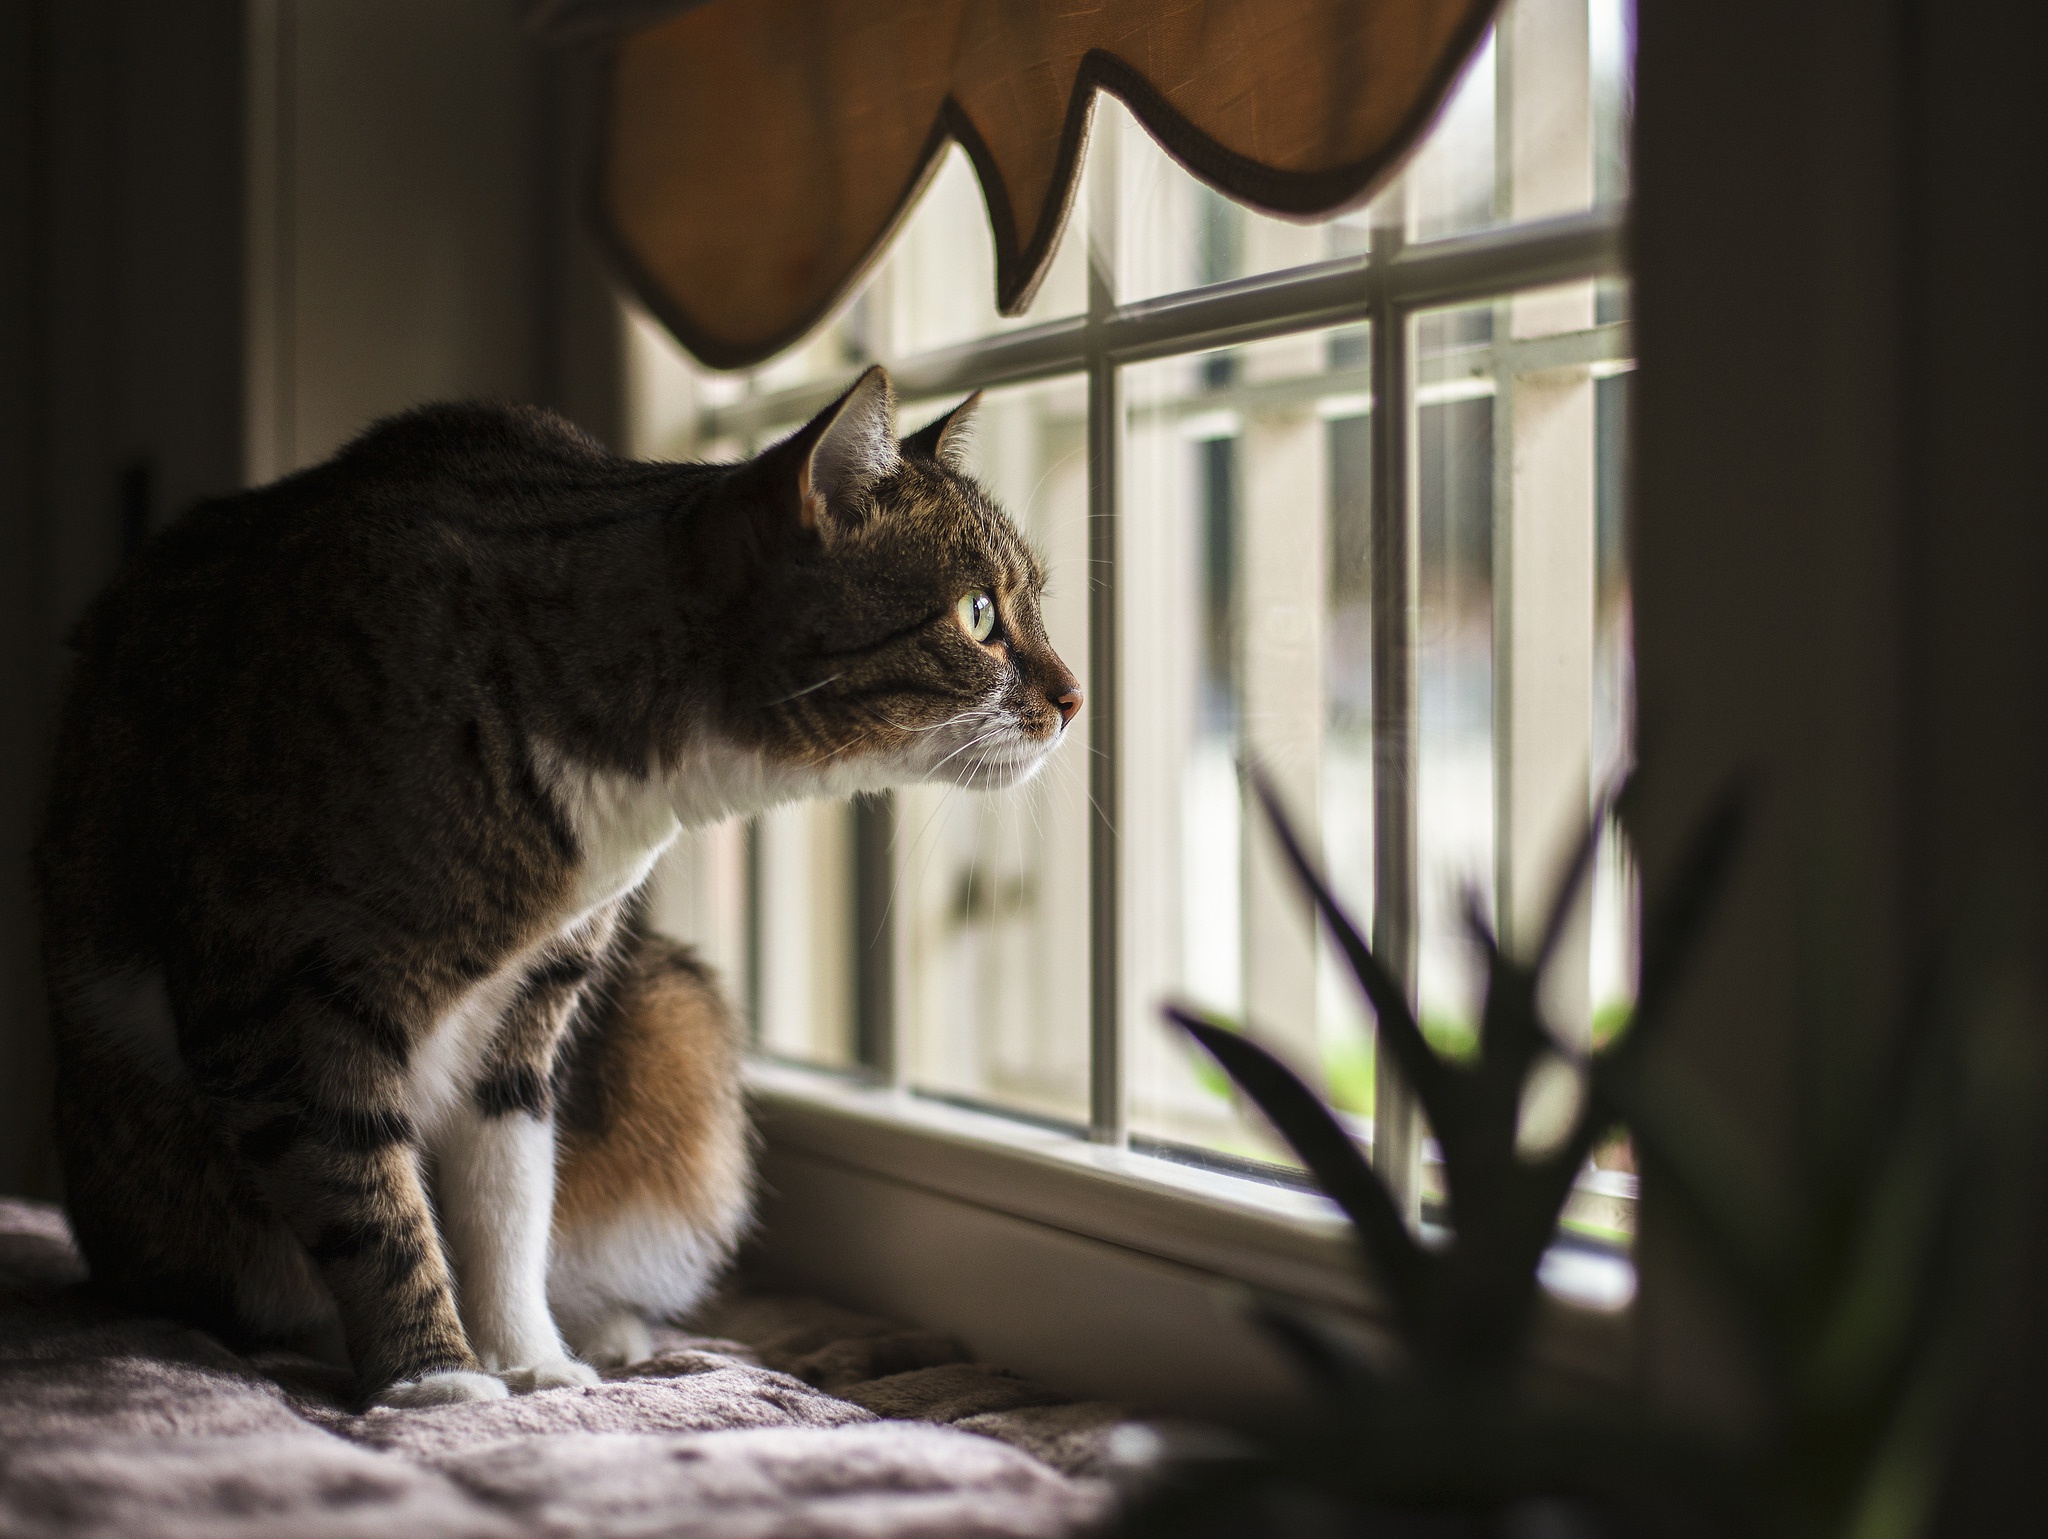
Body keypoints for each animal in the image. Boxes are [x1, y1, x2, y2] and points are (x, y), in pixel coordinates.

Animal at [32, 364, 1081, 1409]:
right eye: (979, 614)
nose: (1076, 698)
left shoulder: (532, 997)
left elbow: (508, 1199)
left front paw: (528, 1358)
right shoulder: (281, 1000)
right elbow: (370, 1203)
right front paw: (432, 1376)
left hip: (676, 1011)